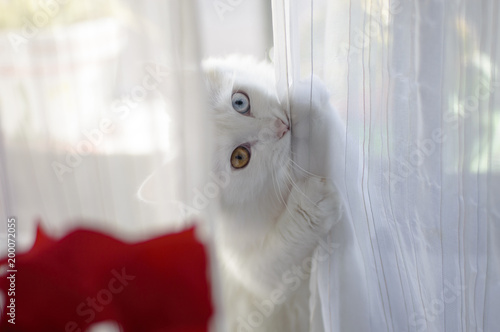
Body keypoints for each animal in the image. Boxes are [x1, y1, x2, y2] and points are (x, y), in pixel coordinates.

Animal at [203, 57, 344, 332]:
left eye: (239, 102)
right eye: (239, 157)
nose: (282, 127)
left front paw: (304, 99)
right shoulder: (253, 272)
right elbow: (286, 243)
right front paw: (314, 202)